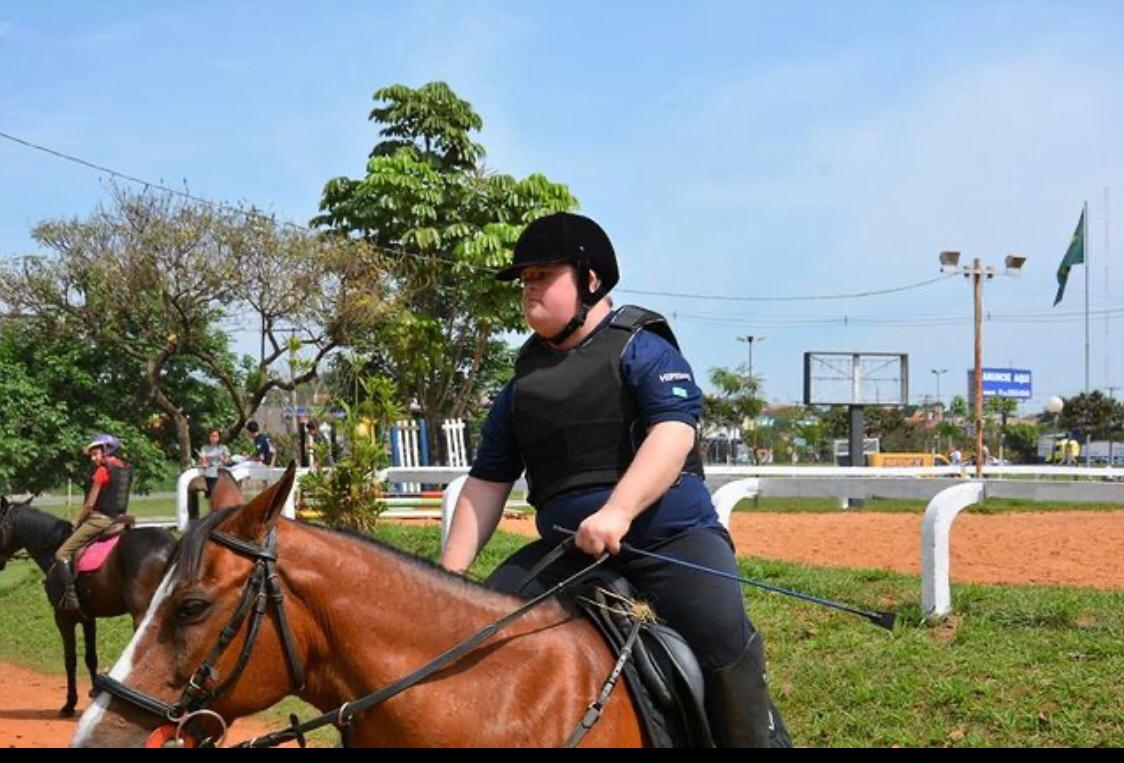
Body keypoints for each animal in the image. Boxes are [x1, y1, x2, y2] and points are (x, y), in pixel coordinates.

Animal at [0, 494, 177, 714]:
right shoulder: (88, 618)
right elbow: (91, 657)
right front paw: (94, 693)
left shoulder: (63, 618)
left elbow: (70, 660)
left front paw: (70, 703)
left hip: (143, 616)